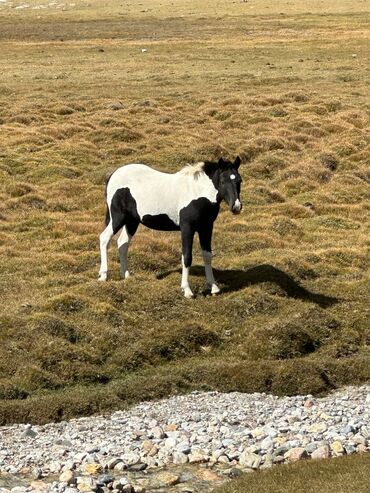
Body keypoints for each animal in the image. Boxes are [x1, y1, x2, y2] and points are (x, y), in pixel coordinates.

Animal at [98, 156, 243, 298]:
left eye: (239, 181)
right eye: (223, 181)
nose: (236, 207)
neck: (197, 192)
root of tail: (114, 174)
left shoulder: (206, 227)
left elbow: (207, 255)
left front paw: (214, 287)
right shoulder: (187, 228)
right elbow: (187, 257)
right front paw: (187, 290)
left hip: (132, 221)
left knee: (122, 243)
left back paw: (126, 275)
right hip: (118, 218)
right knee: (104, 238)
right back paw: (103, 275)